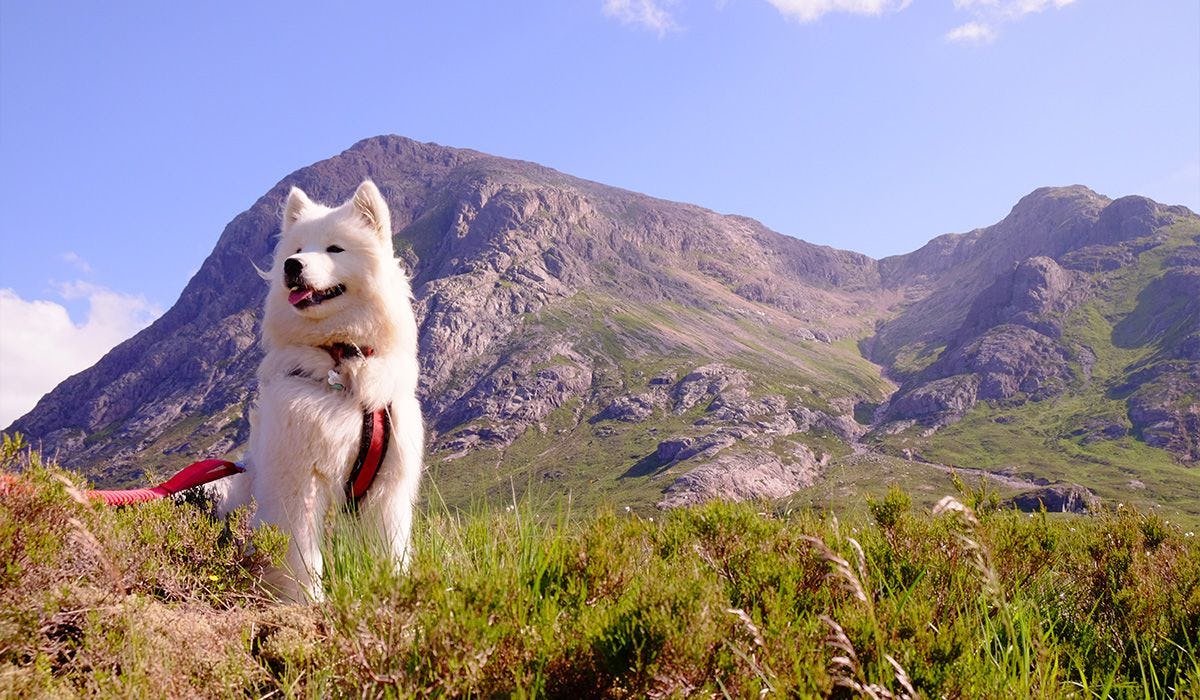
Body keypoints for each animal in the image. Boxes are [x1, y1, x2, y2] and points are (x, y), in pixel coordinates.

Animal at [218, 181, 424, 602]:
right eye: (297, 249)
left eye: (334, 248)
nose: (291, 266)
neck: (341, 356)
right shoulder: (300, 480)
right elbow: (302, 555)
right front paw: (309, 602)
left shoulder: (389, 489)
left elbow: (391, 550)